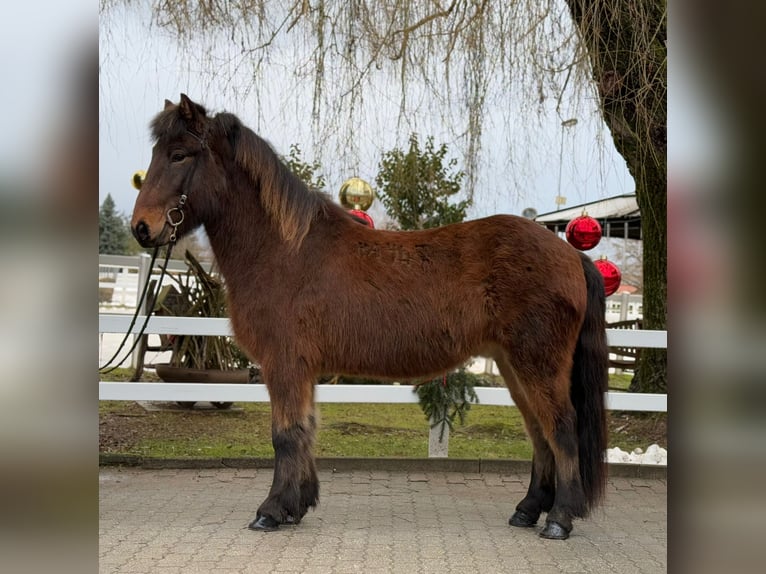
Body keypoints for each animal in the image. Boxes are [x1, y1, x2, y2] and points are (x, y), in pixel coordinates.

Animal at [134, 93, 612, 540]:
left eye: (180, 154)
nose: (142, 228)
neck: (284, 251)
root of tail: (571, 254)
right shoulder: (303, 370)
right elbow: (306, 430)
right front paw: (297, 505)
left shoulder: (284, 363)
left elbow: (285, 434)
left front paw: (271, 511)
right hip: (514, 365)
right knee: (538, 432)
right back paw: (528, 510)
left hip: (538, 363)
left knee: (561, 429)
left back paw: (560, 519)